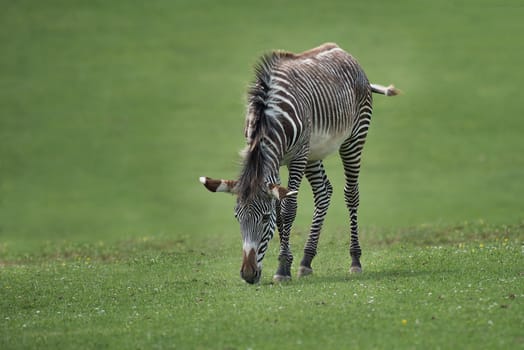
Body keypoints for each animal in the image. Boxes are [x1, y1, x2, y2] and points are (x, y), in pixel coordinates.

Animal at [200, 43, 398, 284]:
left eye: (264, 218)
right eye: (237, 217)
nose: (248, 275)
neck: (268, 119)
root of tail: (341, 50)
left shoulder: (297, 157)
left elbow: (288, 209)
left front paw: (283, 268)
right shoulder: (275, 161)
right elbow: (280, 208)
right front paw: (287, 262)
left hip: (353, 138)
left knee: (351, 194)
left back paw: (355, 260)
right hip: (313, 152)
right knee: (324, 192)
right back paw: (306, 260)